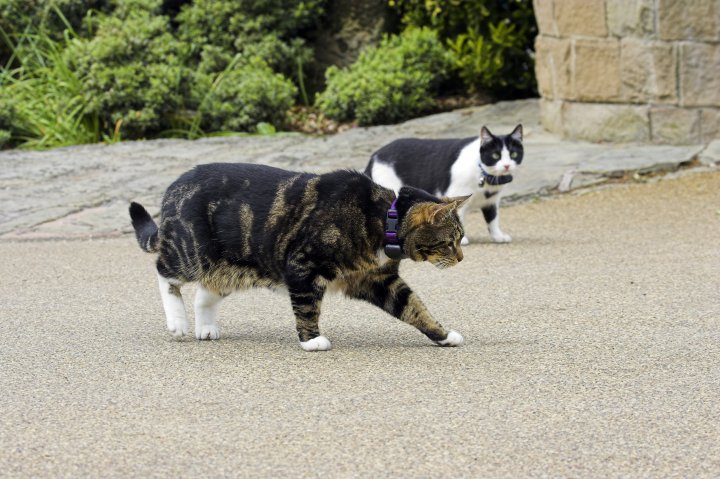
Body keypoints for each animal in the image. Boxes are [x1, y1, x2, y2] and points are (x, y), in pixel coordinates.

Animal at [128, 163, 466, 350]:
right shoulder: (303, 266)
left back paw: (206, 328)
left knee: (204, 293)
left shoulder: (377, 280)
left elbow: (414, 307)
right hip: (192, 253)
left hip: (230, 268)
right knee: (164, 272)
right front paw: (311, 340)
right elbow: (306, 307)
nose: (462, 258)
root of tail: (173, 188)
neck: (382, 217)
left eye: (460, 238)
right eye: (451, 242)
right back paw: (177, 321)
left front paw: (443, 335)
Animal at [366, 124, 524, 244]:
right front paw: (461, 239)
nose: (507, 166)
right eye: (495, 155)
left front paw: (498, 237)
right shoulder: (456, 194)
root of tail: (374, 155)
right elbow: (459, 216)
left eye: (514, 155)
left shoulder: (491, 202)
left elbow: (493, 219)